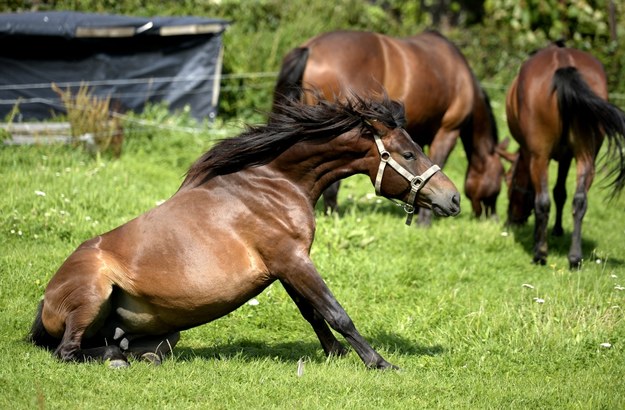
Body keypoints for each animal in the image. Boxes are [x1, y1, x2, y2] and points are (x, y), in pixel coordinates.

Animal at [29, 94, 458, 370]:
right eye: (408, 154)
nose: (452, 199)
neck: (271, 184)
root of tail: (46, 300)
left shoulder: (286, 265)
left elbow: (312, 312)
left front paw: (335, 356)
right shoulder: (291, 260)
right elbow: (336, 313)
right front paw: (379, 363)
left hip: (157, 332)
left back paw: (135, 354)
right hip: (92, 295)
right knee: (67, 351)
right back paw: (117, 360)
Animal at [502, 42, 624, 270]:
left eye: (508, 182)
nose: (511, 221)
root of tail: (563, 63)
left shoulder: (533, 154)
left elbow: (542, 196)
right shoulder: (567, 157)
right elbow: (561, 193)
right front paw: (557, 230)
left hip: (540, 156)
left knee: (543, 202)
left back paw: (540, 254)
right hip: (586, 155)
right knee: (580, 201)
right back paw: (575, 258)